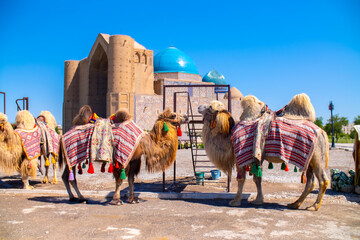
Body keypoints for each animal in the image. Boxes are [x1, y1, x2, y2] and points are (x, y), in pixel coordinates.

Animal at [58, 106, 186, 203]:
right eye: (173, 115)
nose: (187, 117)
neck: (143, 142)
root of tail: (62, 136)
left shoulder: (134, 160)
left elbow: (131, 179)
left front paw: (133, 199)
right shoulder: (120, 158)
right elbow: (120, 180)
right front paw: (117, 200)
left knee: (65, 176)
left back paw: (73, 197)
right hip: (72, 155)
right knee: (71, 177)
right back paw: (81, 198)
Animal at [198, 94, 330, 210]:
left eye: (210, 107)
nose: (199, 107)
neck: (229, 136)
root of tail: (322, 132)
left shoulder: (240, 156)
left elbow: (242, 179)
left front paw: (235, 201)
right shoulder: (257, 158)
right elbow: (257, 178)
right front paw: (258, 200)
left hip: (316, 158)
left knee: (323, 180)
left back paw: (313, 206)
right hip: (309, 159)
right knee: (311, 182)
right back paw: (295, 204)